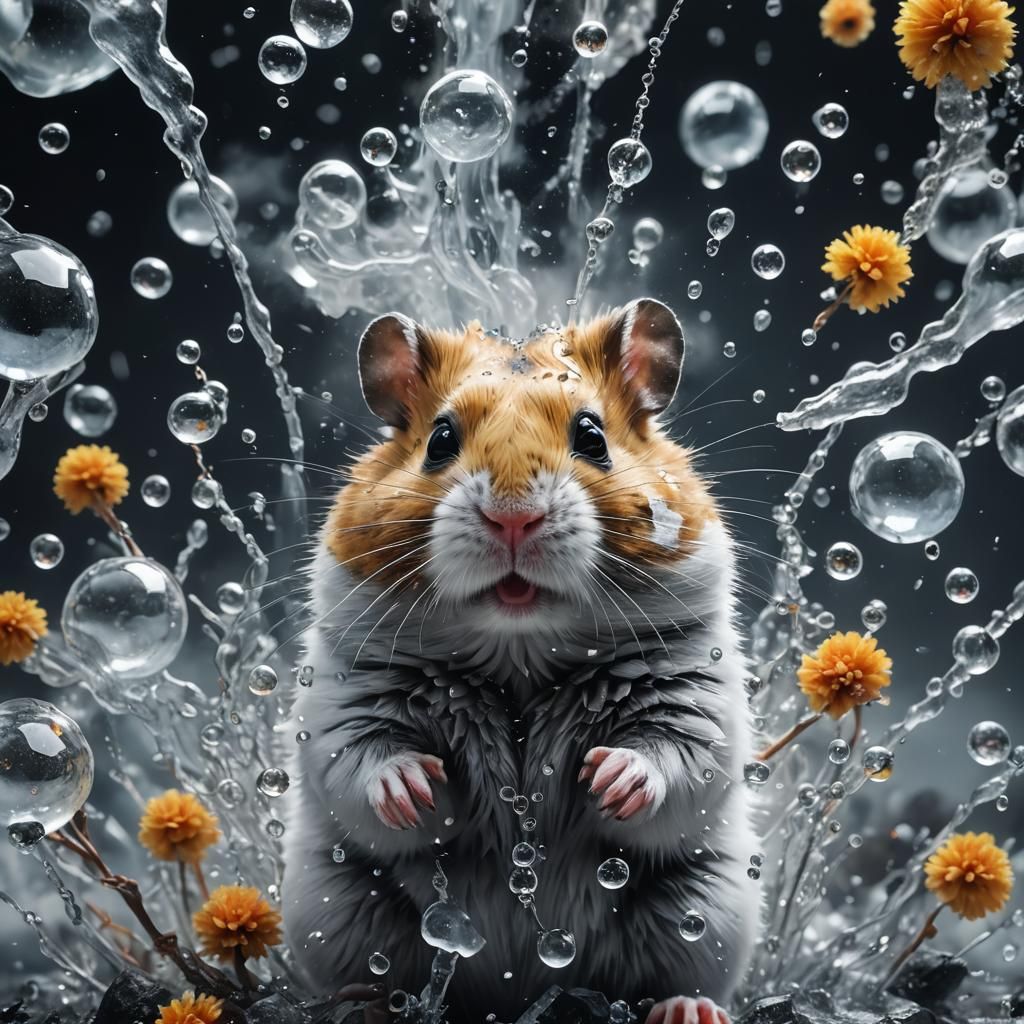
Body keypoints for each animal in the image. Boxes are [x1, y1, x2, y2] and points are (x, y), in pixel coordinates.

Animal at [282, 299, 759, 1024]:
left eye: (591, 436)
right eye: (440, 440)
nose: (513, 519)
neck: (519, 649)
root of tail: (517, 994)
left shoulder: (694, 695)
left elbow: (671, 756)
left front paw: (610, 779)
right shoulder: (343, 696)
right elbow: (365, 761)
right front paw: (414, 788)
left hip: (704, 909)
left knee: (674, 976)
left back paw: (686, 1010)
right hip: (337, 904)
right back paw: (366, 1001)